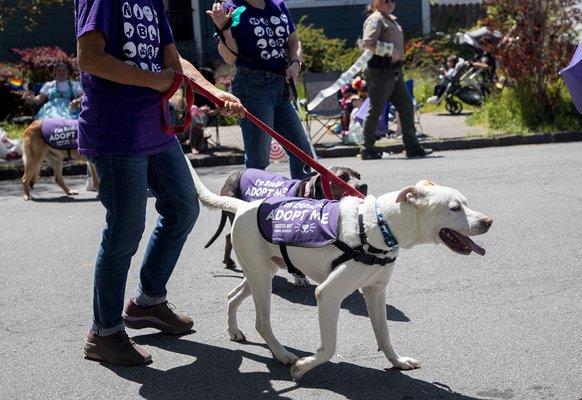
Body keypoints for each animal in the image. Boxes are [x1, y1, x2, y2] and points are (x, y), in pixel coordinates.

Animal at [206, 167, 370, 286]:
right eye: (342, 177)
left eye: (359, 175)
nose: (363, 185)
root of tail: (232, 175)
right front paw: (299, 276)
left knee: (228, 237)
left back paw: (228, 261)